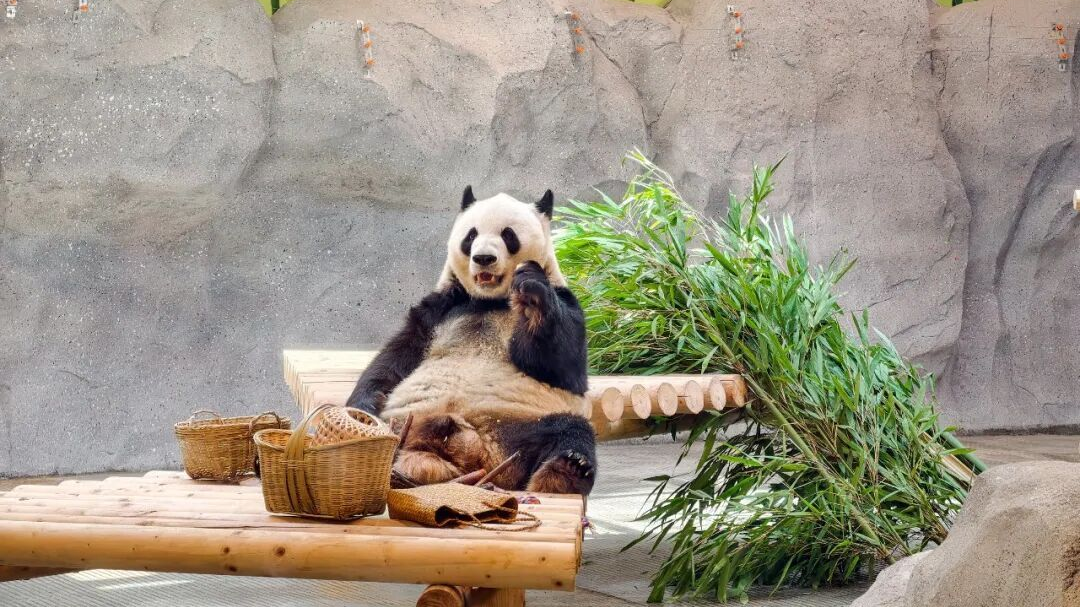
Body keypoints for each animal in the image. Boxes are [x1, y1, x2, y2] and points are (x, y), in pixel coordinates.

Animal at [345, 186, 596, 495]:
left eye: (508, 235)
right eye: (471, 236)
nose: (484, 258)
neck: (489, 301)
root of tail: (472, 452)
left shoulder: (567, 302)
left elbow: (564, 367)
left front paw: (532, 292)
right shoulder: (440, 310)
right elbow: (395, 358)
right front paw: (361, 410)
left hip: (517, 428)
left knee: (570, 430)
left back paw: (566, 471)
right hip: (401, 422)